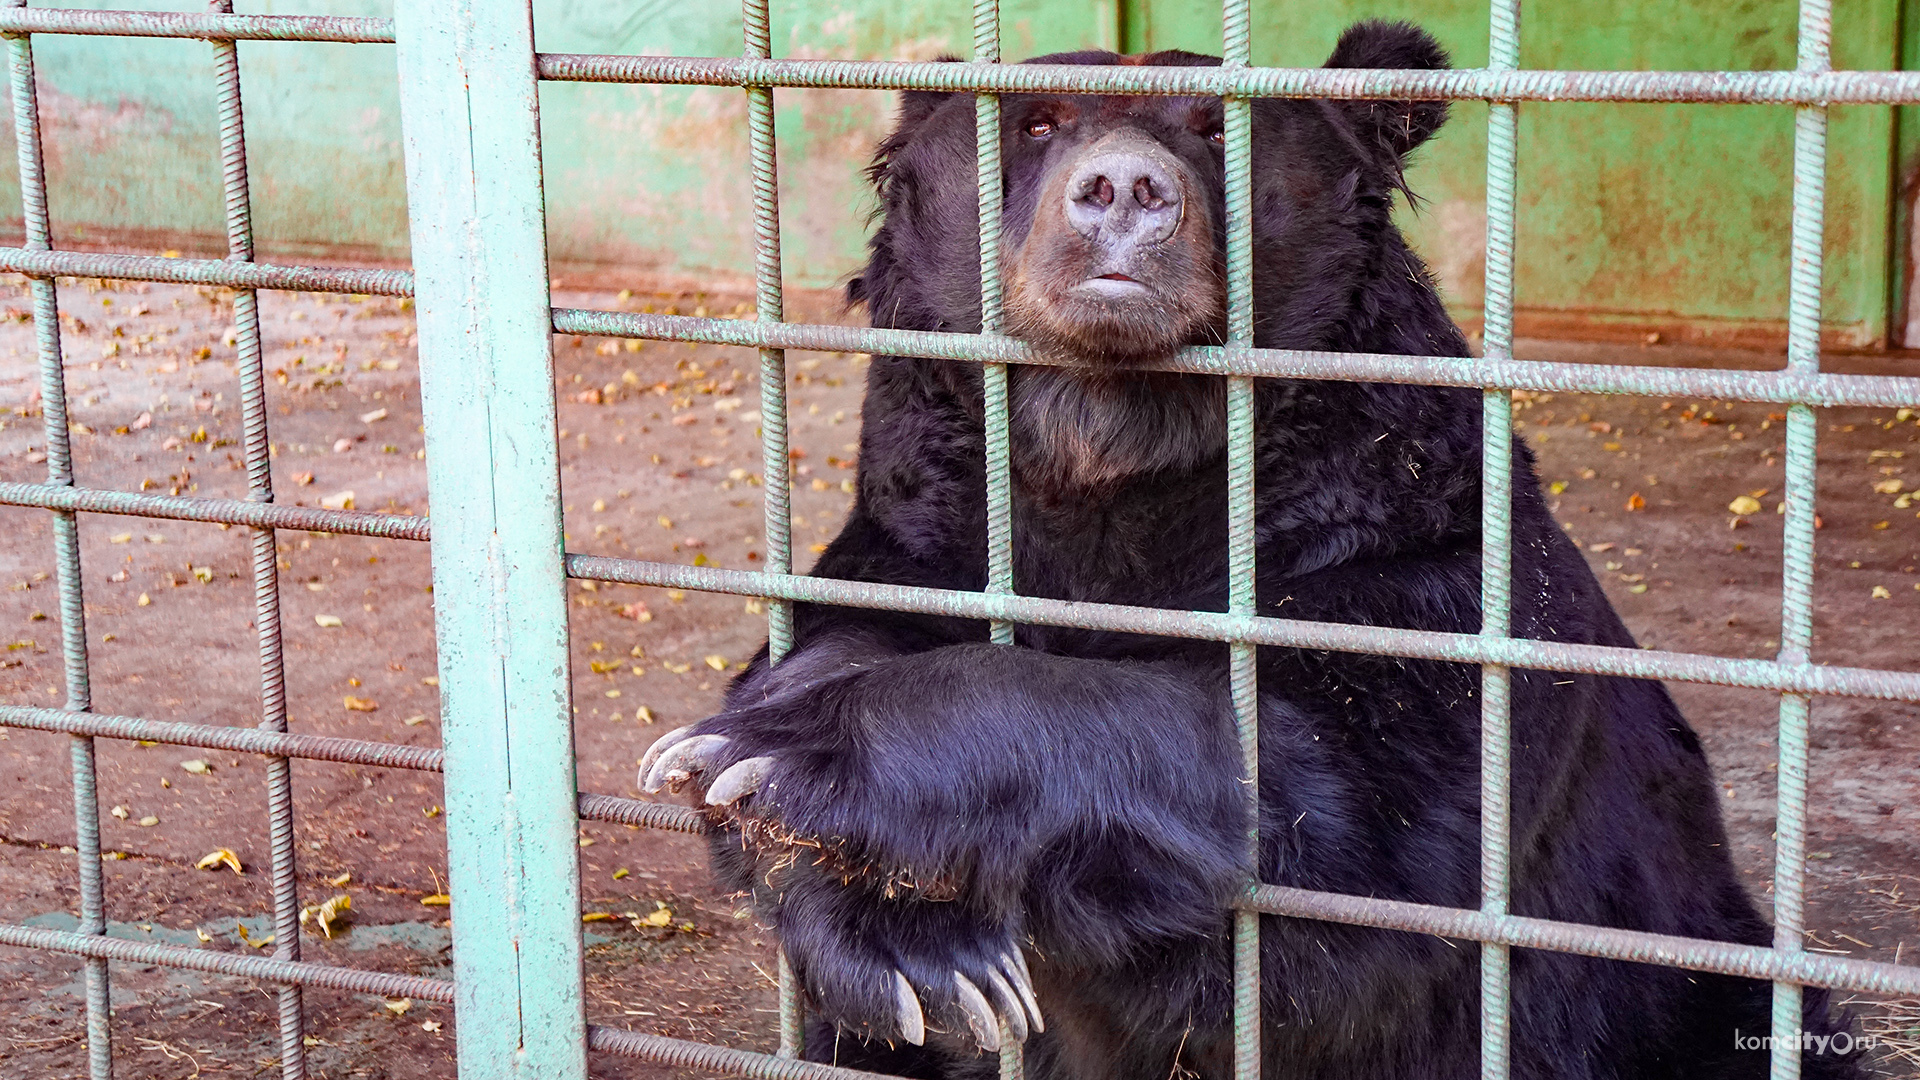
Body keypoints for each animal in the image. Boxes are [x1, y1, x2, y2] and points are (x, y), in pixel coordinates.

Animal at [641, 18, 1858, 1076]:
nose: (1123, 191)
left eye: (1215, 131)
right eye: (1035, 123)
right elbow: (846, 627)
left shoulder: (1411, 553)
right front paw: (889, 920)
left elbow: (1346, 809)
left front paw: (789, 755)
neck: (1119, 449)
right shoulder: (926, 521)